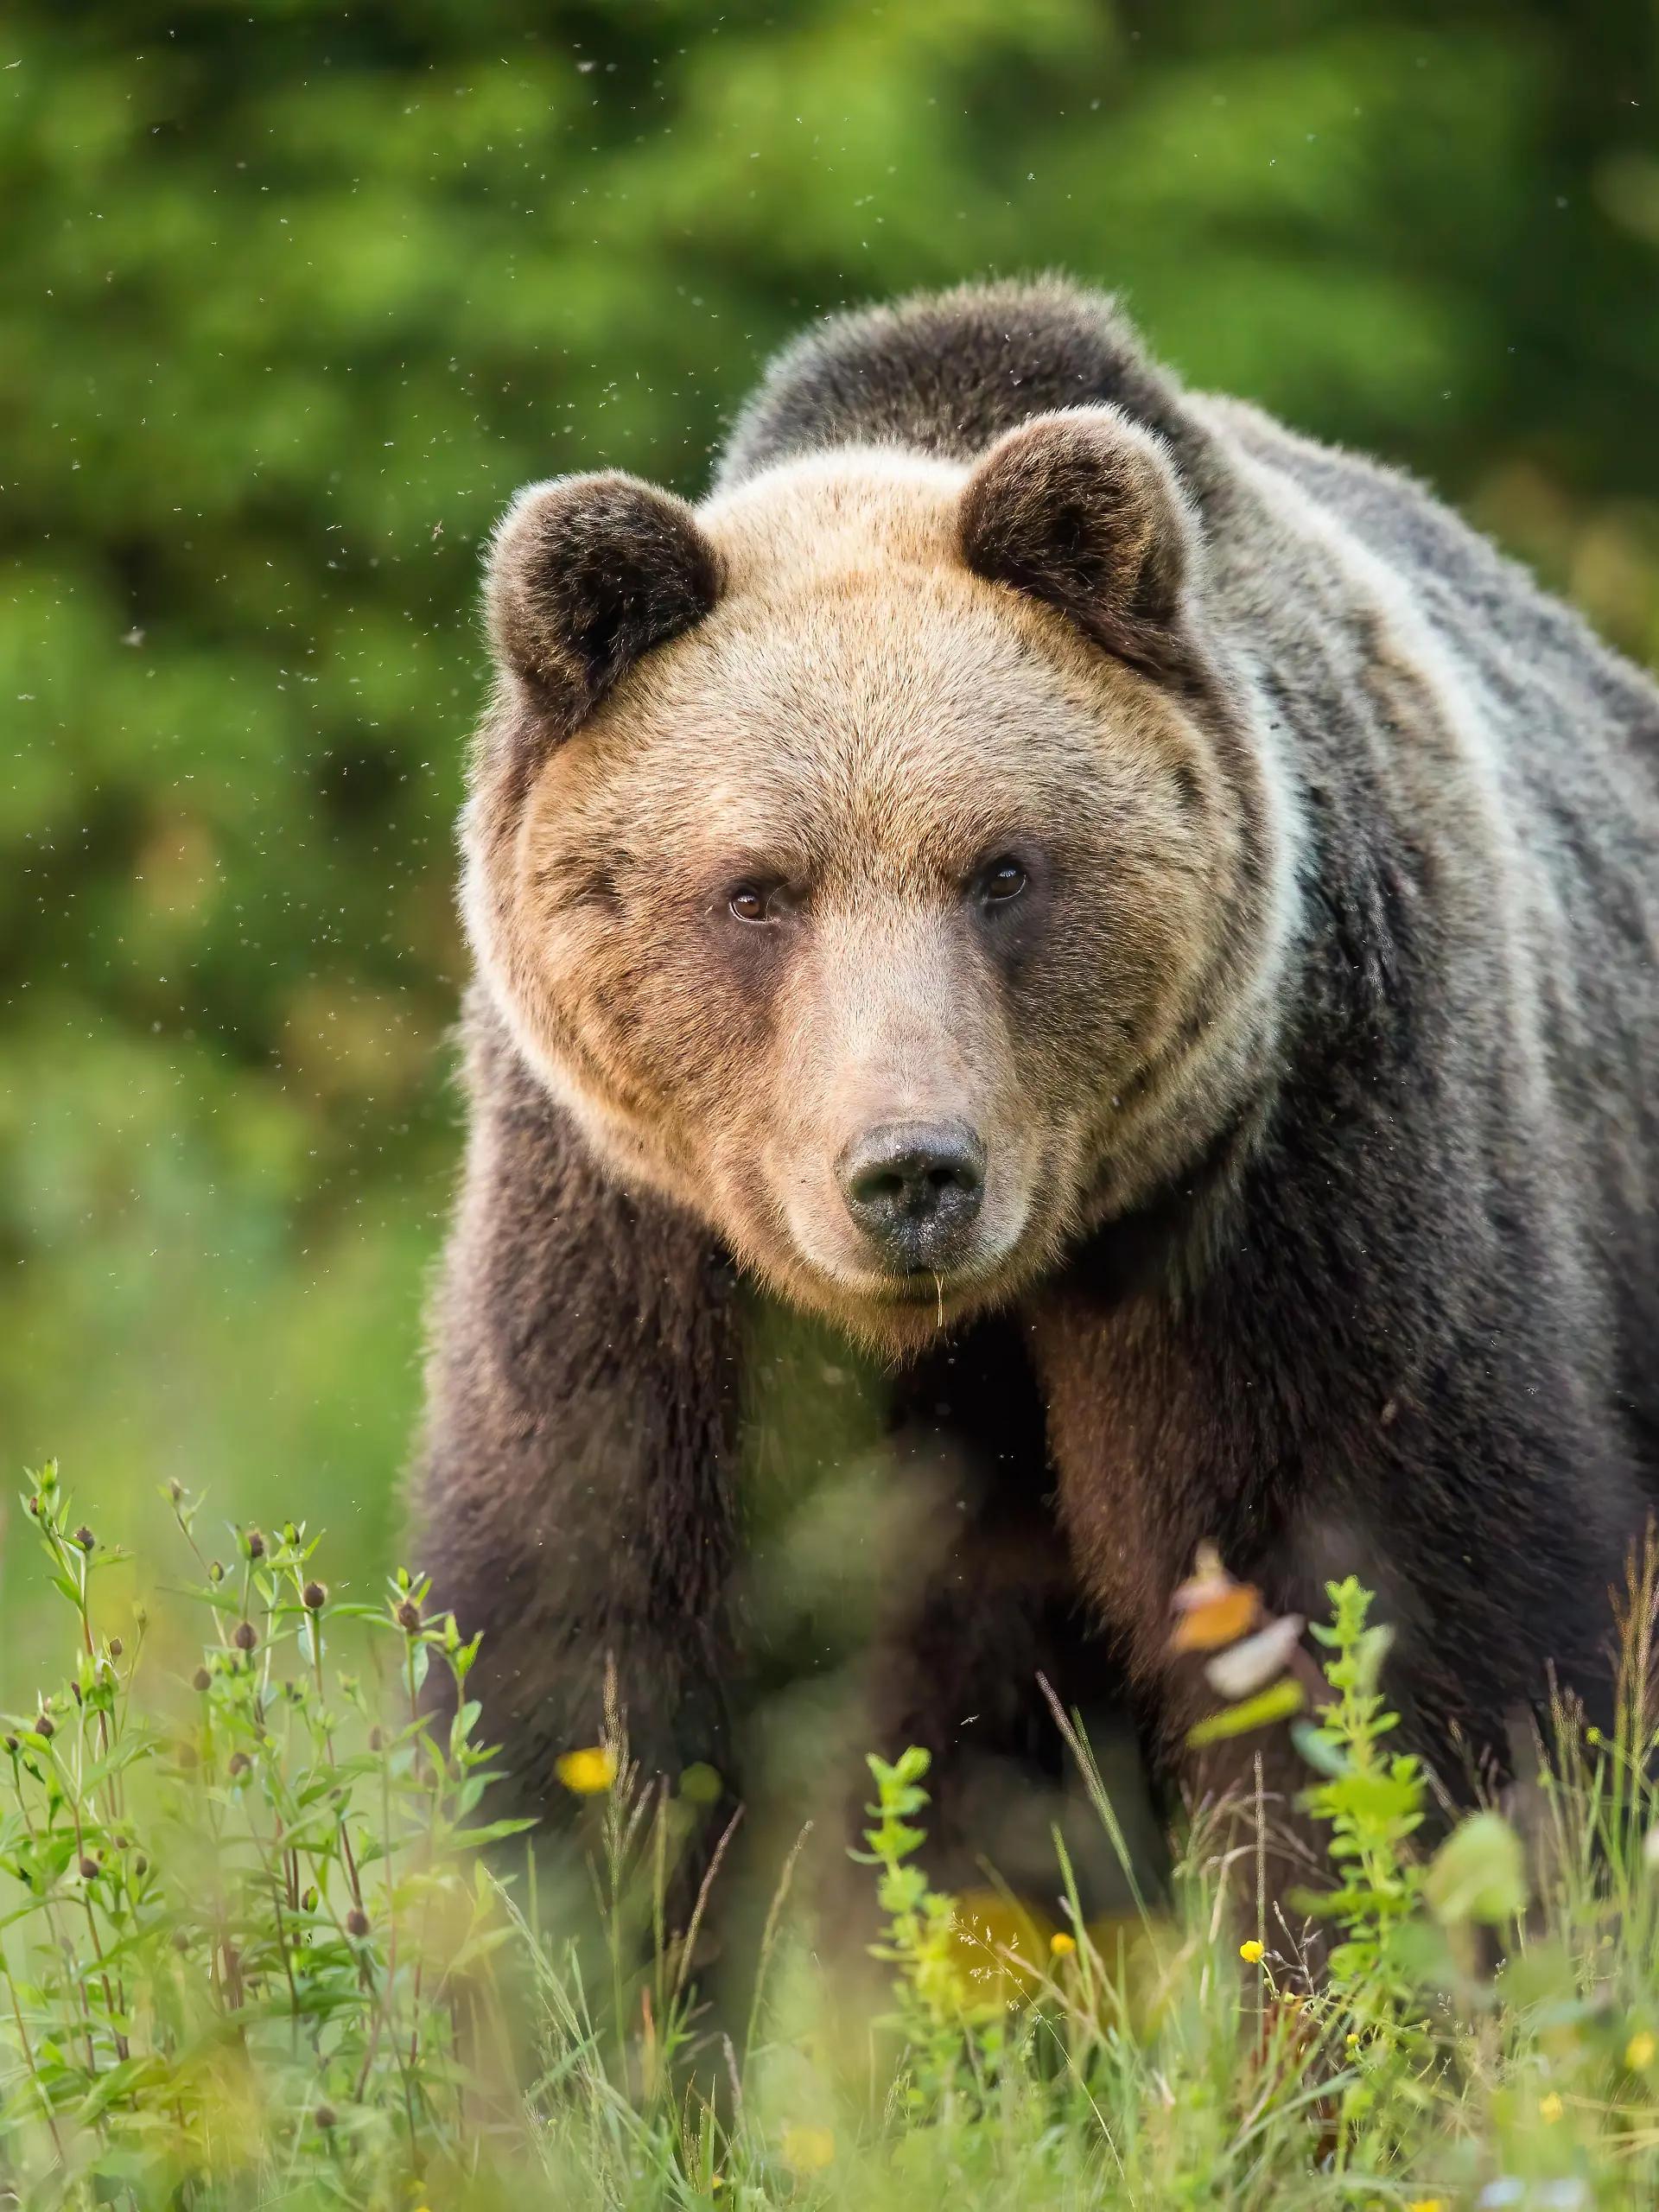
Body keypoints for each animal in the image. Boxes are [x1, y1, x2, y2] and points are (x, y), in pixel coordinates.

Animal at [415, 276, 1659, 1942]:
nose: (910, 1174)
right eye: (757, 891)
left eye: (1002, 868)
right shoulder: (636, 1240)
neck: (979, 1308)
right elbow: (589, 1637)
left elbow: (1379, 1615)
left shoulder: (1296, 1172)